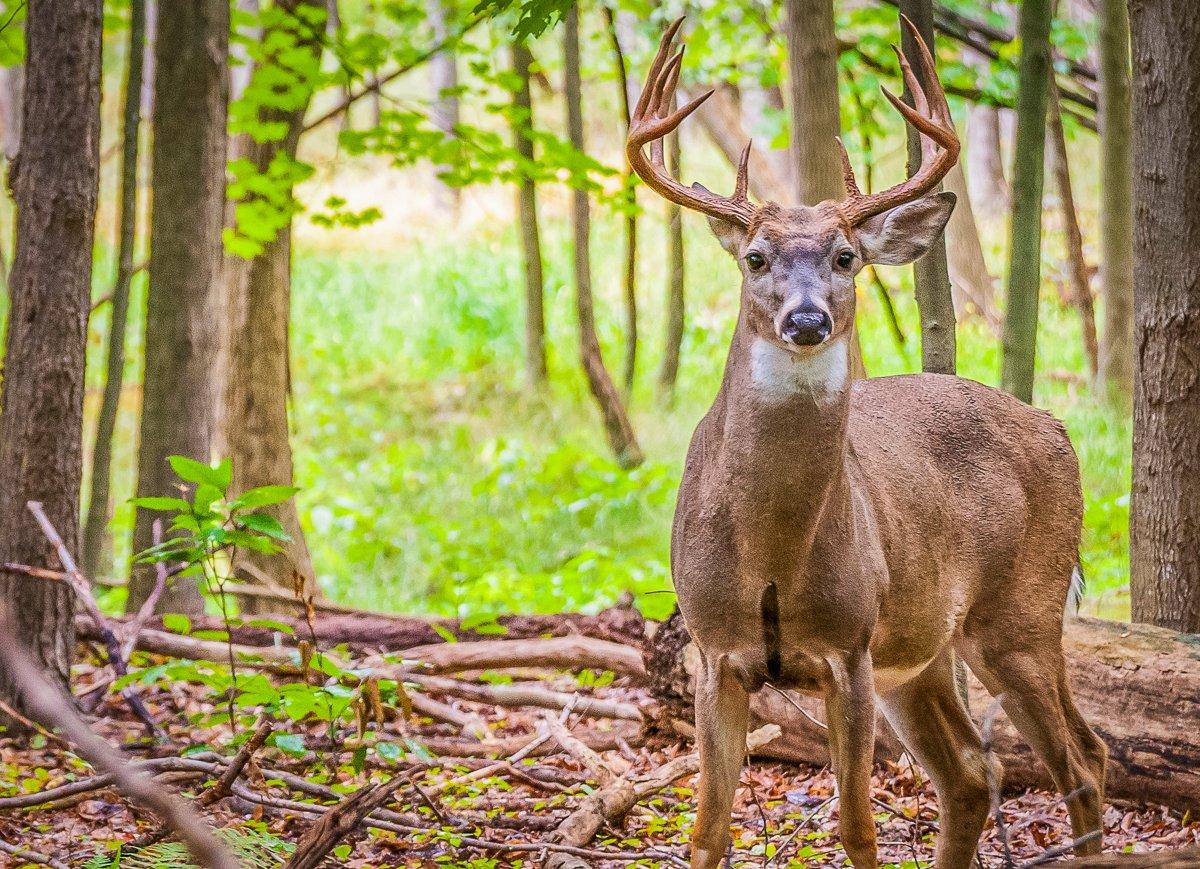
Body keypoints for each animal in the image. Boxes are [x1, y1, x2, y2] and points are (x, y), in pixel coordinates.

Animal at [633, 15, 1108, 869]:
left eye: (845, 257)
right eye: (755, 258)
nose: (807, 318)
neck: (772, 553)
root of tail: (1056, 425)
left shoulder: (849, 646)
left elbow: (857, 826)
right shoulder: (714, 650)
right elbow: (707, 830)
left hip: (1021, 609)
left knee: (1081, 760)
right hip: (920, 654)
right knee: (974, 771)